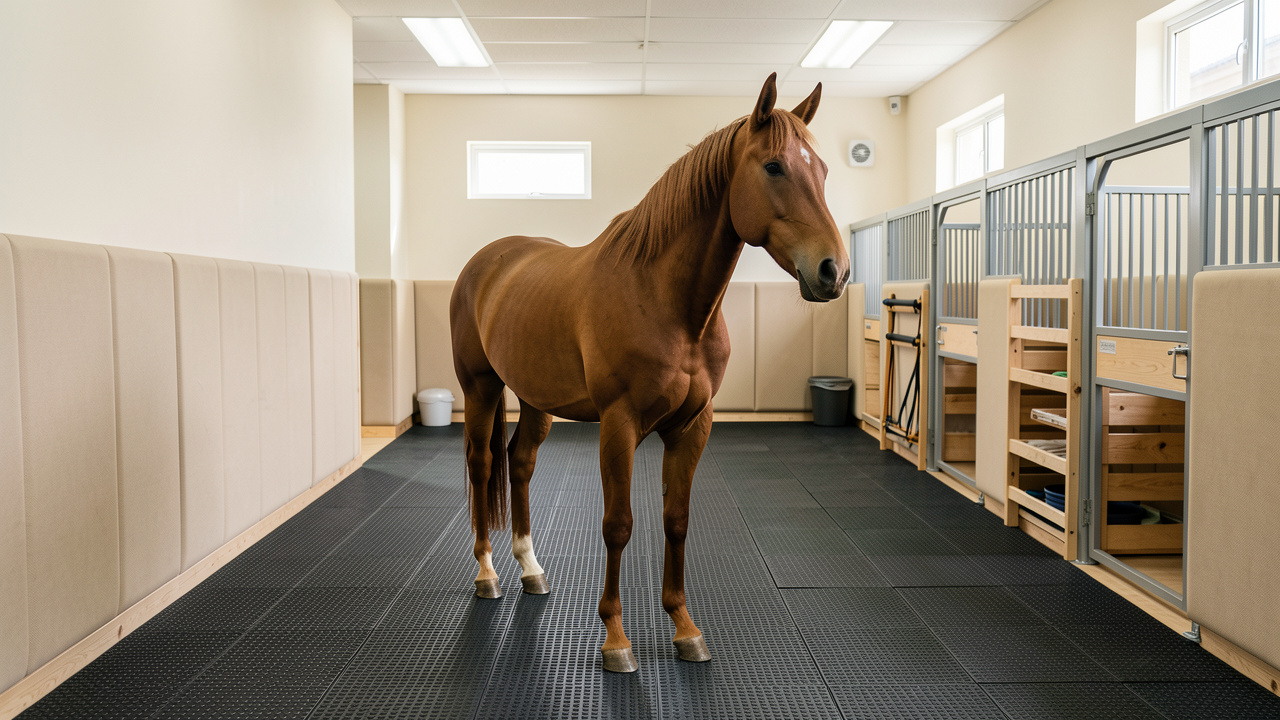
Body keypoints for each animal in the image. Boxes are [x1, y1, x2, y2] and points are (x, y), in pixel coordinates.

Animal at [449, 73, 849, 673]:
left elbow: (675, 520)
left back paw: (531, 570)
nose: (834, 270)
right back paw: (488, 574)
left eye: (822, 170)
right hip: (480, 388)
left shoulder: (692, 426)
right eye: (775, 166)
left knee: (519, 463)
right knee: (480, 466)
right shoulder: (619, 426)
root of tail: (487, 260)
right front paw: (616, 639)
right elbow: (619, 525)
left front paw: (685, 628)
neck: (666, 300)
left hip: (536, 397)